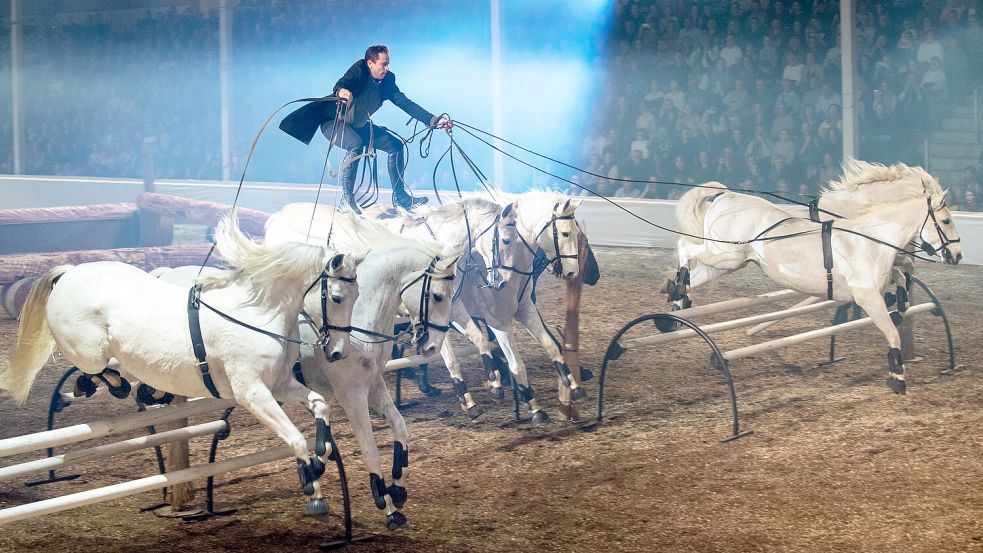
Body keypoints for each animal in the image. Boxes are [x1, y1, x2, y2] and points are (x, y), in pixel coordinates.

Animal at [0, 213, 362, 516]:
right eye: (337, 297)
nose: (337, 352)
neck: (258, 313)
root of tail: (69, 273)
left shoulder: (281, 385)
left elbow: (319, 404)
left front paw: (321, 454)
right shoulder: (254, 394)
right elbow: (295, 438)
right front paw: (312, 487)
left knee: (111, 371)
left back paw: (126, 389)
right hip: (89, 349)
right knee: (96, 368)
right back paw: (108, 386)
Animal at [668, 160, 960, 392]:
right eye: (946, 221)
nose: (957, 255)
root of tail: (725, 197)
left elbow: (902, 275)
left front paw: (897, 305)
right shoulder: (867, 290)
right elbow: (895, 308)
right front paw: (897, 377)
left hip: (727, 262)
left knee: (693, 272)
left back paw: (677, 303)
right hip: (725, 255)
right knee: (685, 248)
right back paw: (676, 293)